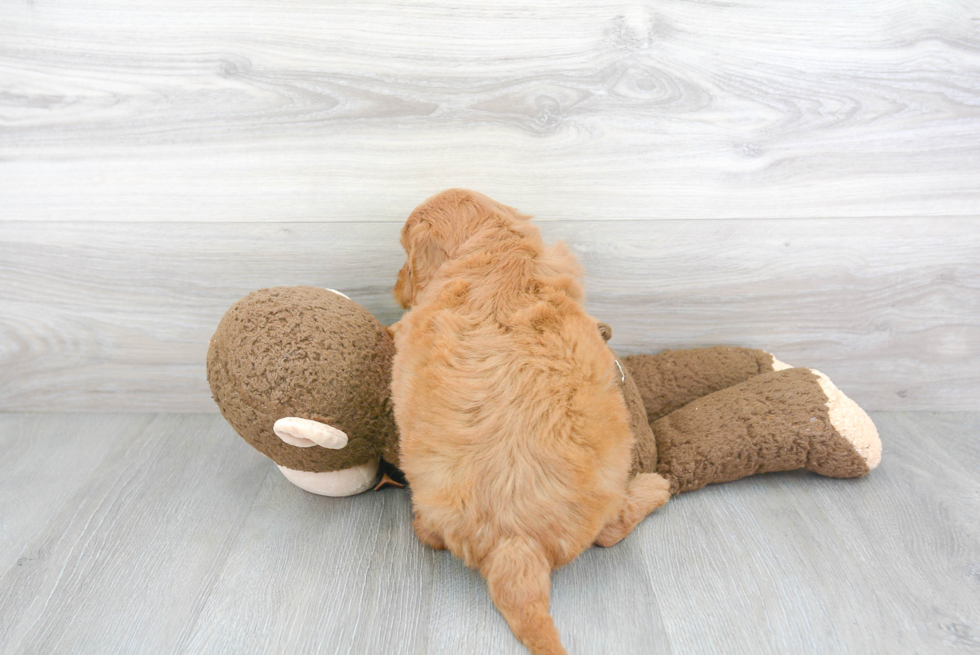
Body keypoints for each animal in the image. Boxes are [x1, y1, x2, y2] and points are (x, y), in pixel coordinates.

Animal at [388, 190, 668, 655]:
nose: (393, 287)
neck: (497, 254)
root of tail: (515, 542)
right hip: (613, 468)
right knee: (610, 530)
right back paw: (655, 487)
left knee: (427, 533)